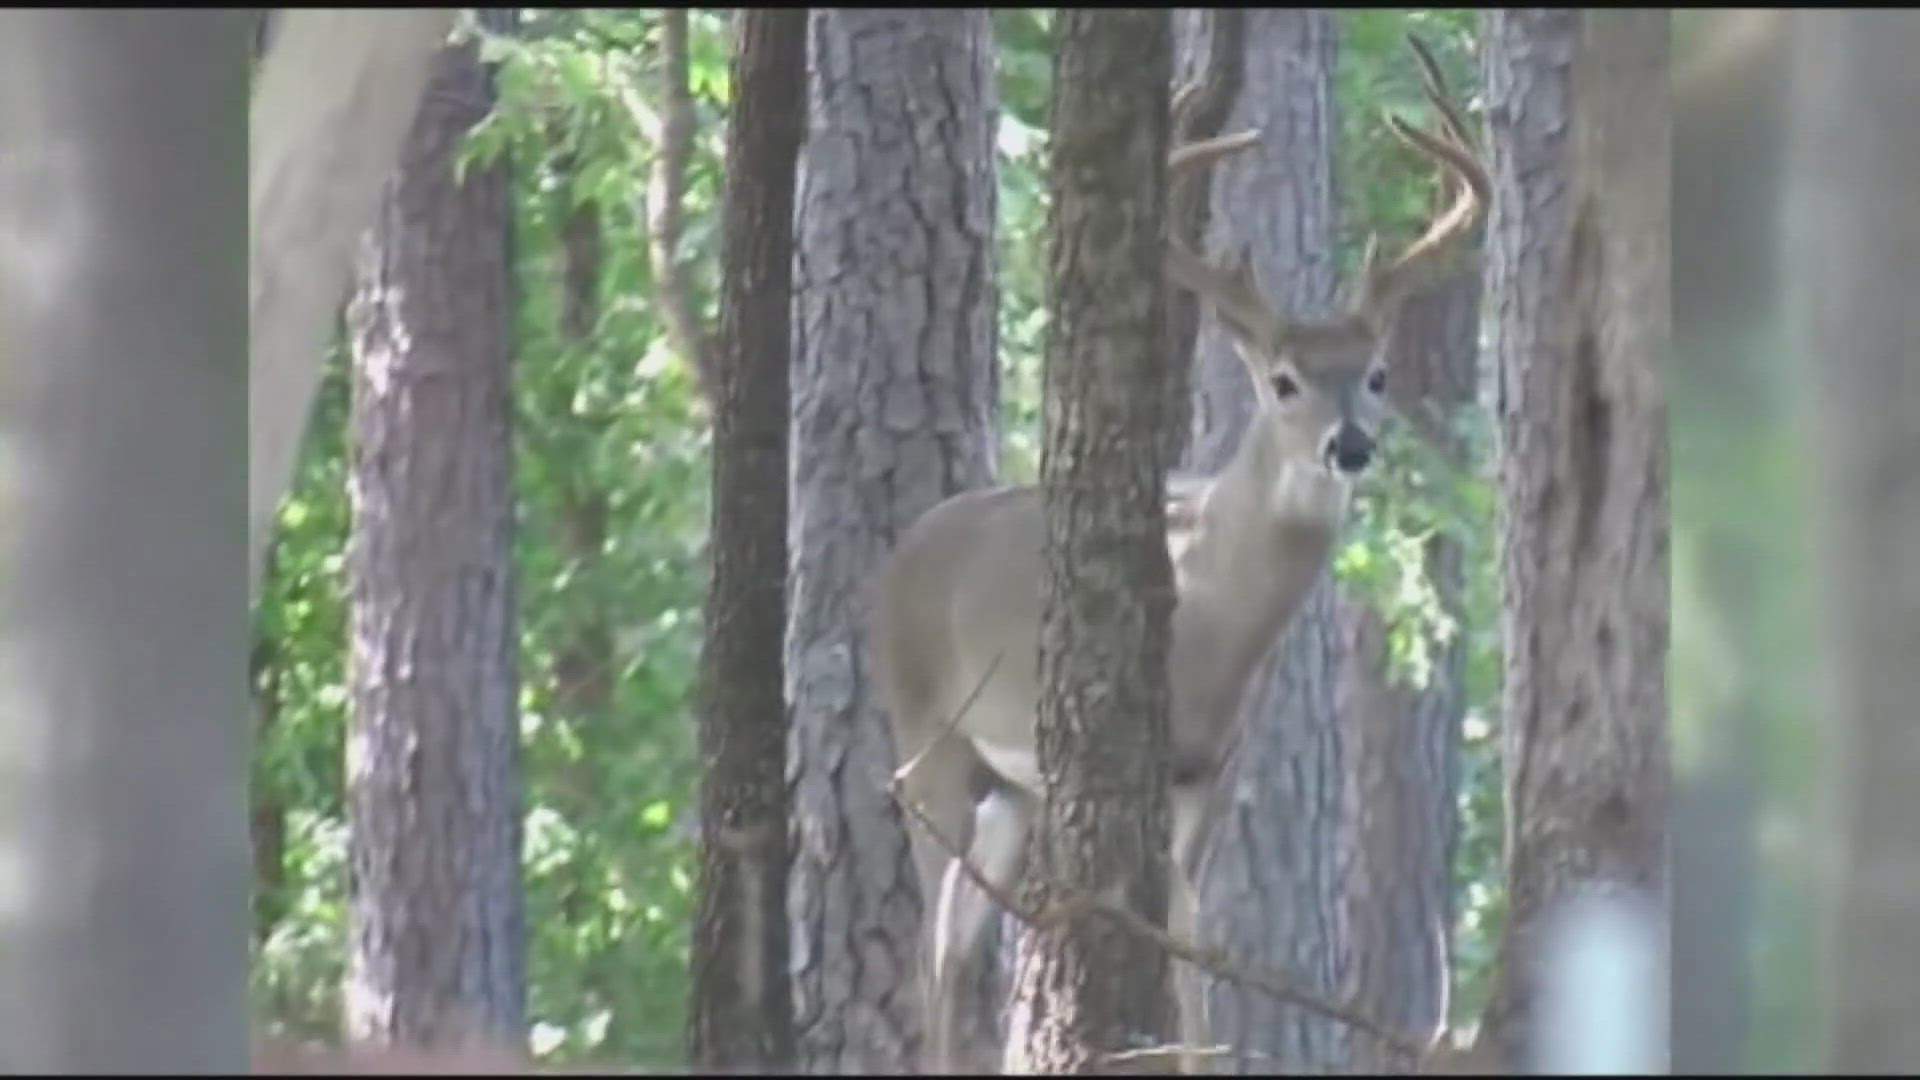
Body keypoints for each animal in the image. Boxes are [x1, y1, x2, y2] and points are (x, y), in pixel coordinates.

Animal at [871, 37, 1482, 1068]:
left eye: (1375, 374)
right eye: (1282, 380)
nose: (1351, 445)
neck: (1209, 611)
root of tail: (897, 557)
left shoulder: (1212, 769)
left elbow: (1196, 946)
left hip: (1013, 790)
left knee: (958, 942)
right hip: (929, 739)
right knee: (926, 943)